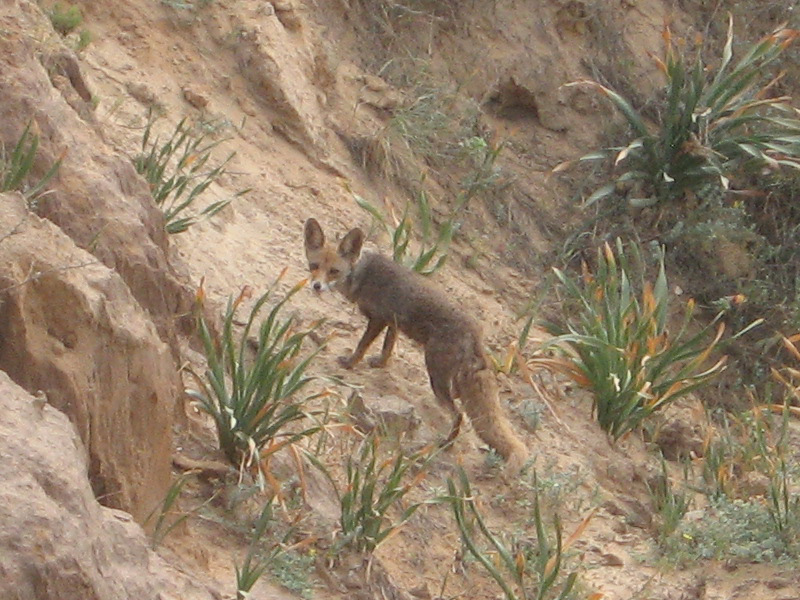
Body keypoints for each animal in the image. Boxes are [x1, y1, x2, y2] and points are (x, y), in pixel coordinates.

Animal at [303, 217, 528, 473]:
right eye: (313, 266)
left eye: (334, 271)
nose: (317, 286)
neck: (361, 276)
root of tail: (476, 332)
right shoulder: (392, 322)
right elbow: (388, 347)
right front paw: (380, 363)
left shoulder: (378, 319)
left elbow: (362, 346)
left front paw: (350, 363)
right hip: (447, 375)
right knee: (460, 398)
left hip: (435, 372)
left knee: (459, 413)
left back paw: (446, 443)